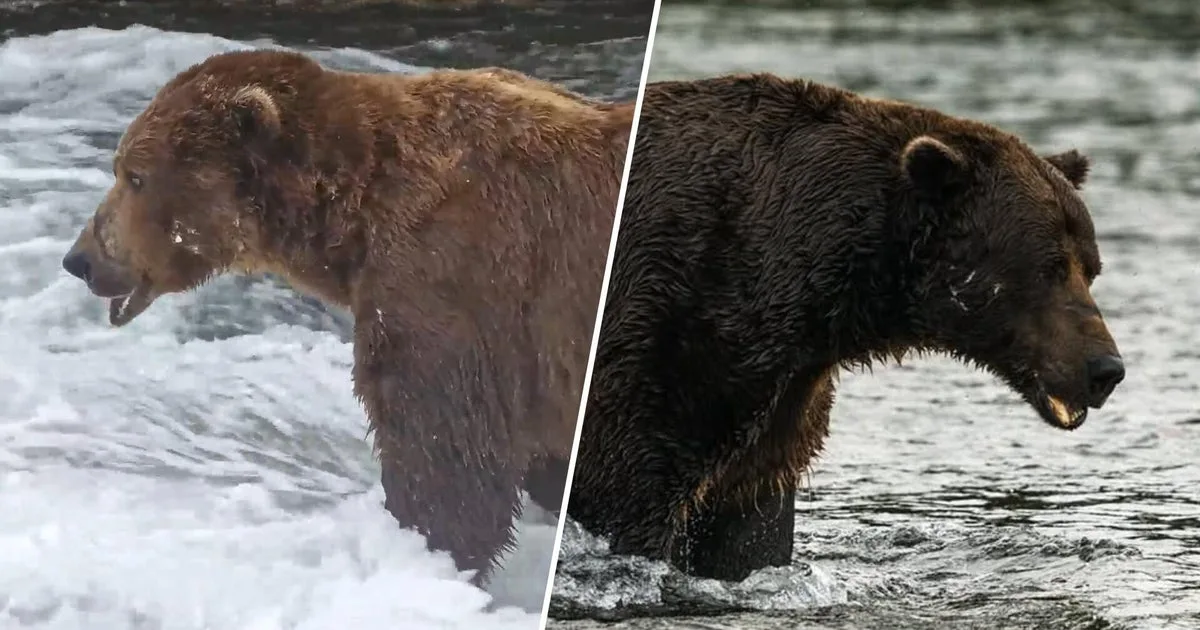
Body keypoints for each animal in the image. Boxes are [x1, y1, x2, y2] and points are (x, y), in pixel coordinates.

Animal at [59, 49, 634, 584]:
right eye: (120, 167)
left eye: (135, 175)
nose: (79, 259)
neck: (352, 214)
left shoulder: (454, 281)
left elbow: (443, 451)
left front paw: (426, 553)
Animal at [562, 73, 1126, 583]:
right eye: (1049, 267)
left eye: (1091, 267)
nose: (1105, 368)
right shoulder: (667, 340)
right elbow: (630, 491)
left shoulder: (780, 407)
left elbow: (750, 526)